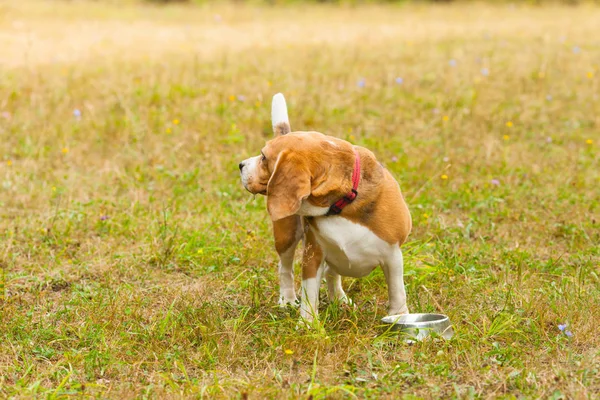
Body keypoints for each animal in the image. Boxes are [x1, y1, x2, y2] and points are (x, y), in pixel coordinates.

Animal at [240, 94, 412, 324]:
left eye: (263, 157)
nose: (240, 165)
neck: (341, 204)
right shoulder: (313, 253)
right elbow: (309, 294)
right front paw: (307, 325)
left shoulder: (392, 254)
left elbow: (396, 290)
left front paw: (399, 316)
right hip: (286, 236)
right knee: (285, 268)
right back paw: (287, 299)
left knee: (332, 273)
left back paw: (339, 299)